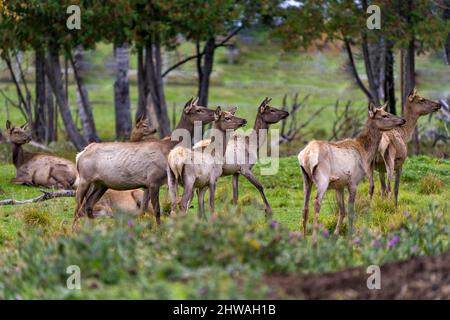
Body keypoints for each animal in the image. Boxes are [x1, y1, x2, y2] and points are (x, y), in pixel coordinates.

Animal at [73, 96, 217, 229]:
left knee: (88, 205)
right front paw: (159, 231)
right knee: (77, 208)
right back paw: (74, 231)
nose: (216, 112)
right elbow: (157, 210)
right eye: (198, 109)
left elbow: (143, 210)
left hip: (101, 184)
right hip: (85, 179)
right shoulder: (153, 180)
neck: (168, 147)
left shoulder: (147, 184)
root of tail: (79, 155)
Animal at [298, 102, 406, 245]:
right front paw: (350, 235)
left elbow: (342, 210)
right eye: (384, 115)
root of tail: (306, 156)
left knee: (305, 207)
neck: (365, 152)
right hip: (322, 179)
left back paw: (304, 238)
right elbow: (351, 211)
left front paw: (336, 233)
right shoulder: (353, 182)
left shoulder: (339, 185)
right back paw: (314, 240)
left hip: (306, 178)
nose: (403, 120)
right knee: (316, 203)